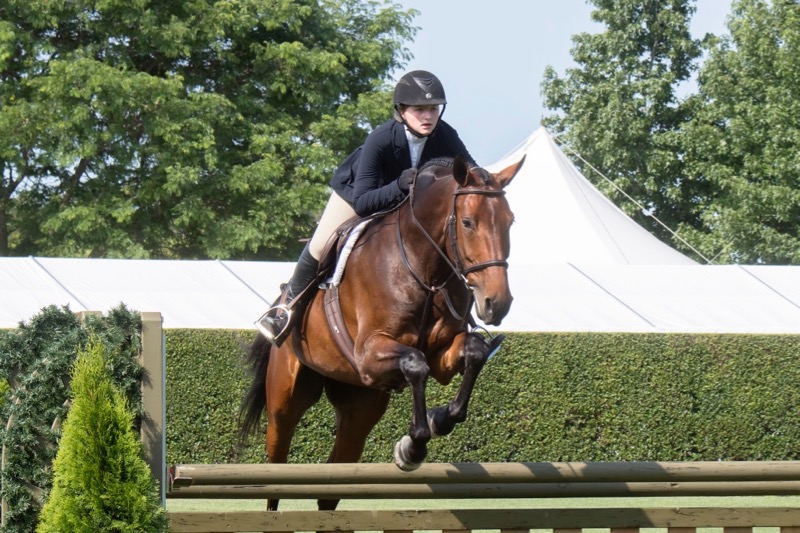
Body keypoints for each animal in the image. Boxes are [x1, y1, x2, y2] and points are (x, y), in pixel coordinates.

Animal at [238, 154, 524, 512]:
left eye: (510, 222)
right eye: (468, 222)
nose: (497, 303)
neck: (424, 266)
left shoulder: (442, 355)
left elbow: (472, 353)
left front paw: (438, 420)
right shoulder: (369, 353)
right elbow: (415, 363)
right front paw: (413, 447)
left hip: (359, 409)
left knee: (332, 485)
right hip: (285, 401)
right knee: (276, 470)